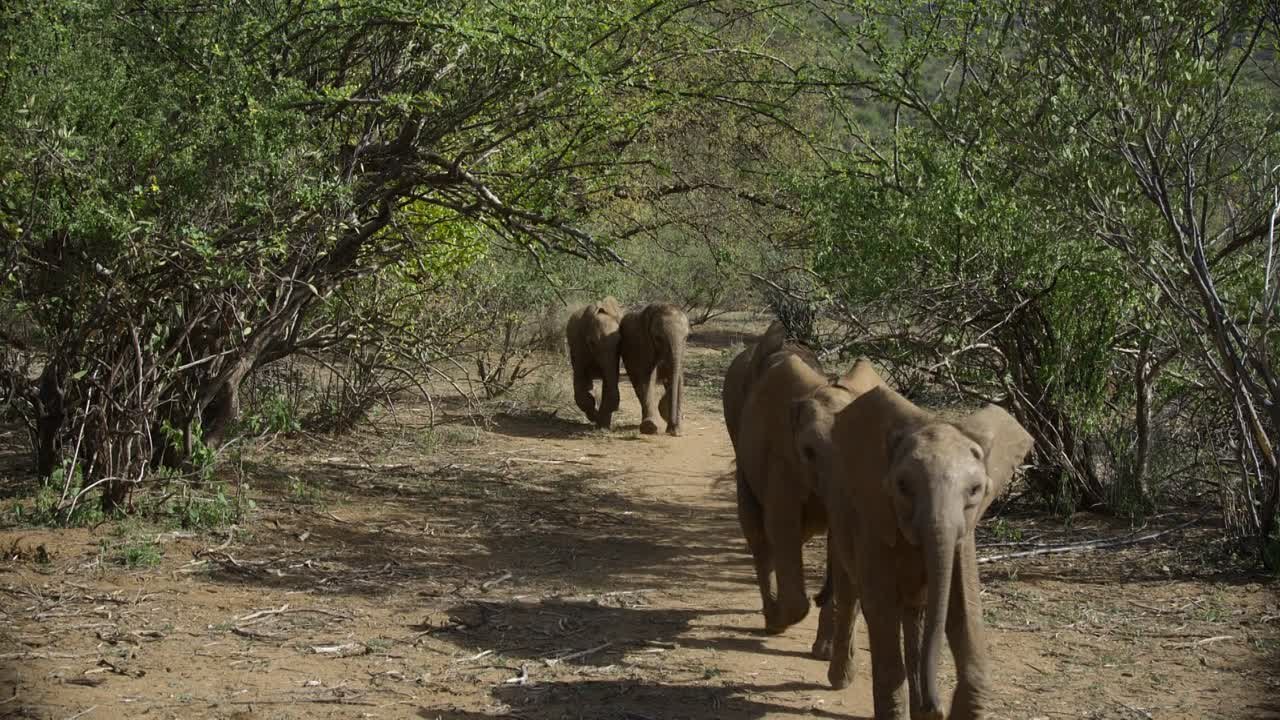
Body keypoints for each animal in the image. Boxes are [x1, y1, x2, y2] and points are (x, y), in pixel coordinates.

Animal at [565, 295, 624, 425]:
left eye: (620, 343)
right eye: (592, 343)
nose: (616, 408)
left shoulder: (614, 357)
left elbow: (610, 378)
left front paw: (602, 423)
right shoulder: (579, 345)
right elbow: (580, 378)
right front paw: (596, 418)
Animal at [619, 301, 691, 435]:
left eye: (686, 338)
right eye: (658, 338)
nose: (673, 432)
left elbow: (678, 379)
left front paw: (676, 430)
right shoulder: (643, 344)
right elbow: (648, 377)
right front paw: (650, 428)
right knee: (638, 384)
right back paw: (648, 425)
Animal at [814, 379, 1034, 712]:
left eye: (975, 490)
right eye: (903, 486)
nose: (935, 706)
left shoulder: (963, 537)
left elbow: (963, 613)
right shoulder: (875, 521)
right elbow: (880, 609)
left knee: (915, 613)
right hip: (840, 513)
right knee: (850, 593)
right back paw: (840, 679)